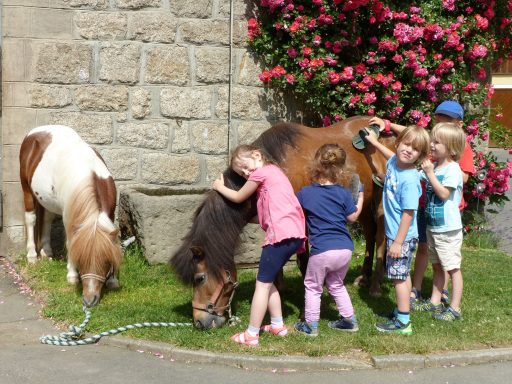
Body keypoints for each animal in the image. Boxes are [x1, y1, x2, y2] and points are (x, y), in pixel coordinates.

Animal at [18, 124, 123, 308]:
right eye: (80, 259)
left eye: (105, 262)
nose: (89, 300)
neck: (90, 174)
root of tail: (35, 132)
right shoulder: (69, 217)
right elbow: (70, 242)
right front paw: (72, 276)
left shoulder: (109, 215)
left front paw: (113, 280)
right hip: (27, 190)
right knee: (31, 219)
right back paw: (32, 256)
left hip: (46, 199)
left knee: (47, 219)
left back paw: (47, 252)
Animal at [170, 115, 394, 328]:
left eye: (200, 278)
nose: (200, 322)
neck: (277, 164)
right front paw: (278, 292)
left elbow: (304, 263)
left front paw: (305, 310)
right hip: (362, 201)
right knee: (370, 234)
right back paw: (363, 278)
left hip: (380, 200)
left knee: (381, 237)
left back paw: (375, 286)